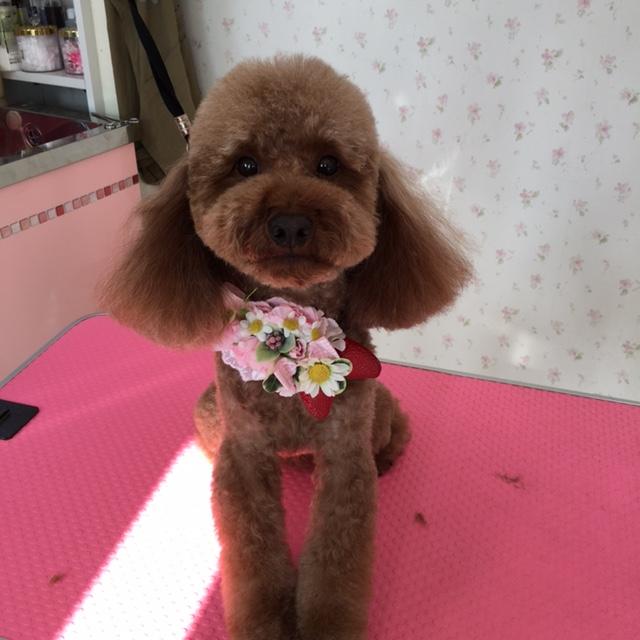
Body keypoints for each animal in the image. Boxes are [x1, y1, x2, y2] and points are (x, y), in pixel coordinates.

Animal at [103, 55, 471, 640]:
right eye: (245, 164)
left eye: (328, 165)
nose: (292, 223)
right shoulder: (245, 457)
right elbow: (253, 558)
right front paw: (266, 624)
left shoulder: (345, 459)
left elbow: (337, 564)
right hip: (210, 412)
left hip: (377, 409)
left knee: (393, 429)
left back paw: (388, 456)